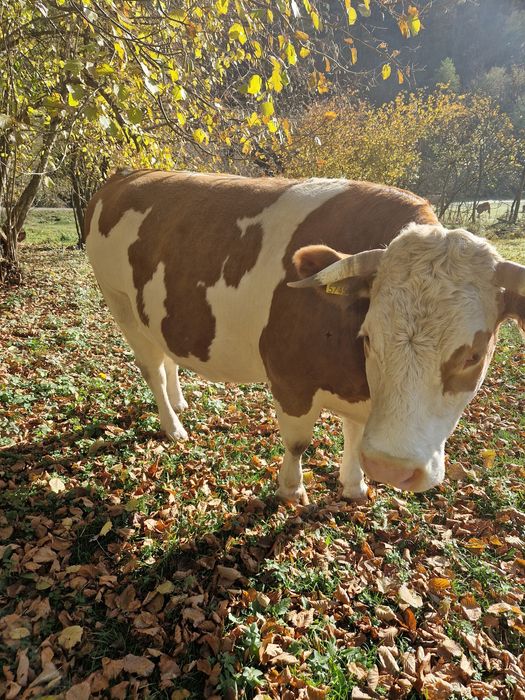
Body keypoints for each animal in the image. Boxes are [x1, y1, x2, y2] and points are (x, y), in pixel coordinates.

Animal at [84, 170, 525, 505]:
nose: (391, 467)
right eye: (369, 337)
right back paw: (173, 425)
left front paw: (354, 484)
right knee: (152, 370)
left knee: (167, 358)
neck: (358, 380)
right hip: (119, 302)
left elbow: (353, 433)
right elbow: (297, 443)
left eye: (474, 355)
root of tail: (126, 175)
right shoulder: (290, 380)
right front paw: (292, 490)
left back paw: (180, 402)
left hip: (154, 313)